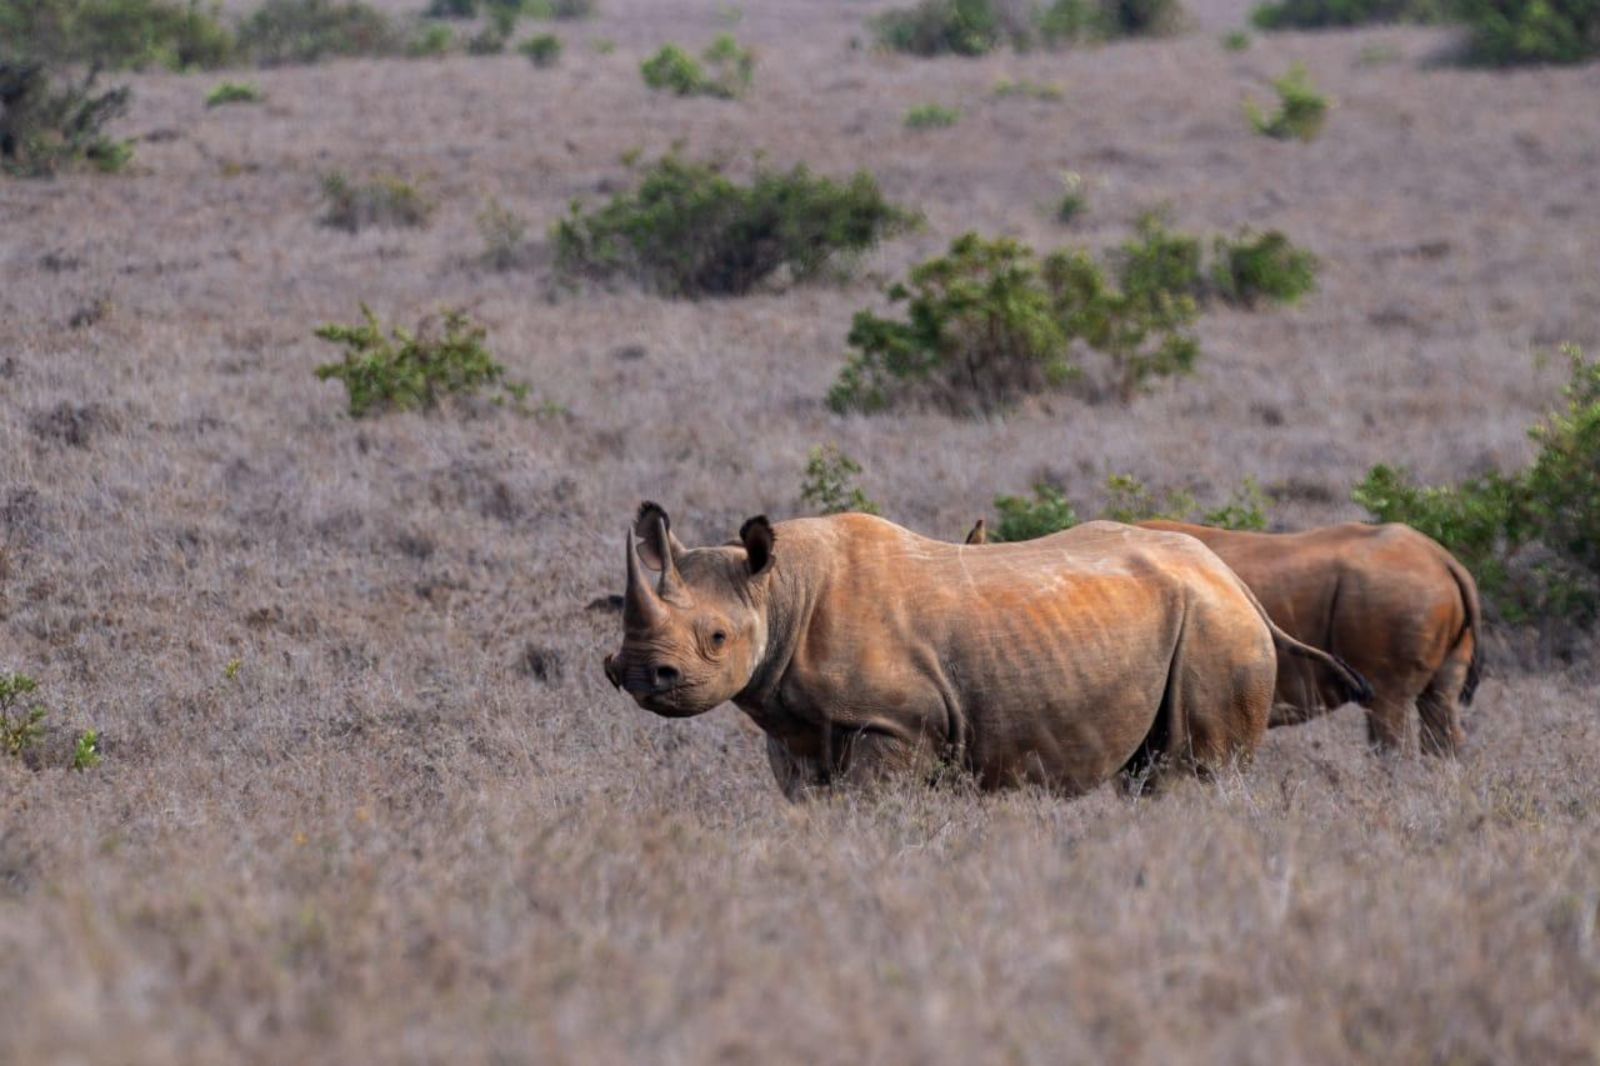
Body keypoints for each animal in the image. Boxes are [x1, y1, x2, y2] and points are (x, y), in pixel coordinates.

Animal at [603, 503, 1371, 798]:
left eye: (717, 638)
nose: (637, 673)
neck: (778, 591)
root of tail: (1233, 579)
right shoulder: (799, 729)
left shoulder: (894, 725)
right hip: (1196, 617)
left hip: (1216, 629)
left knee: (1195, 774)